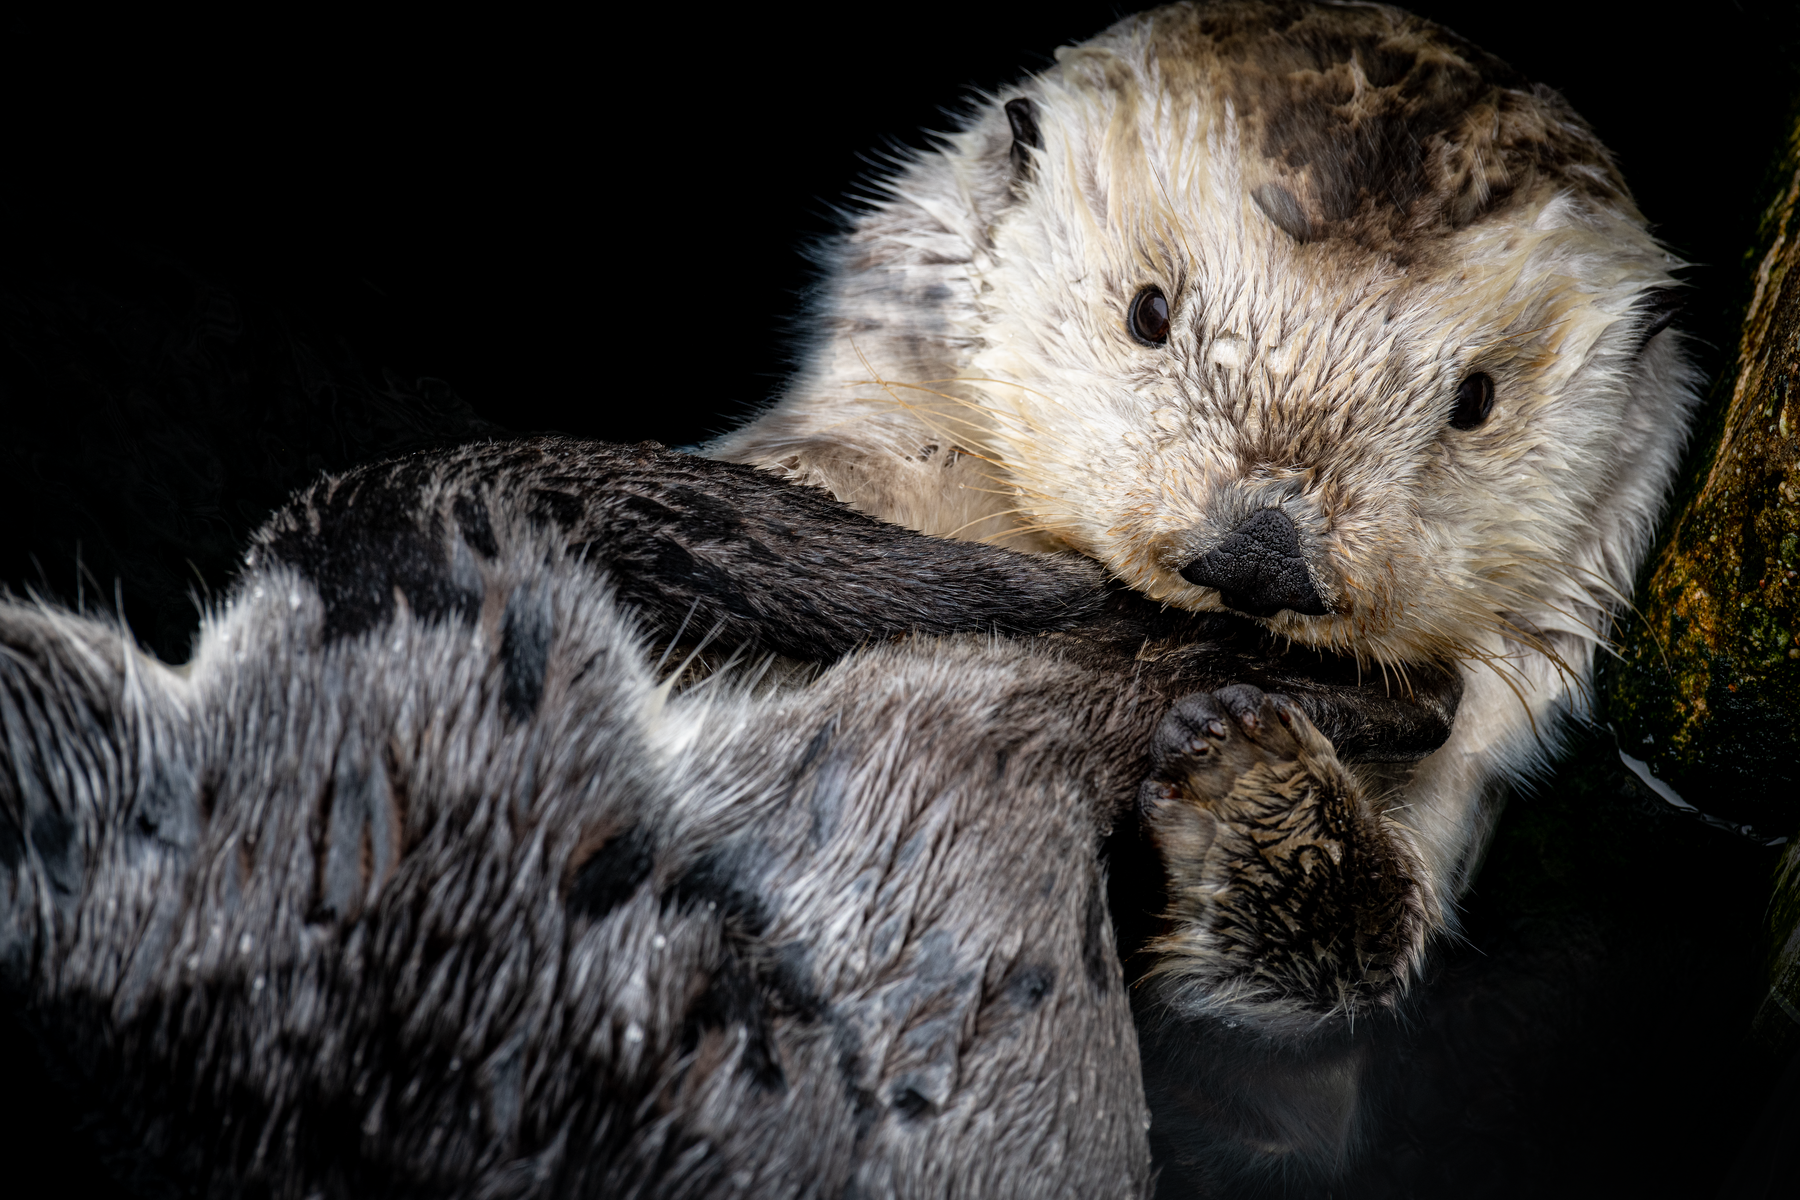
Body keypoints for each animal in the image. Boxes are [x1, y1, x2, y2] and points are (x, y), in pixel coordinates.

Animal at [710, 0, 1698, 1021]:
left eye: (1475, 401)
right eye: (1149, 312)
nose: (1259, 557)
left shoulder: (1475, 751)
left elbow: (1355, 946)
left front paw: (1249, 776)